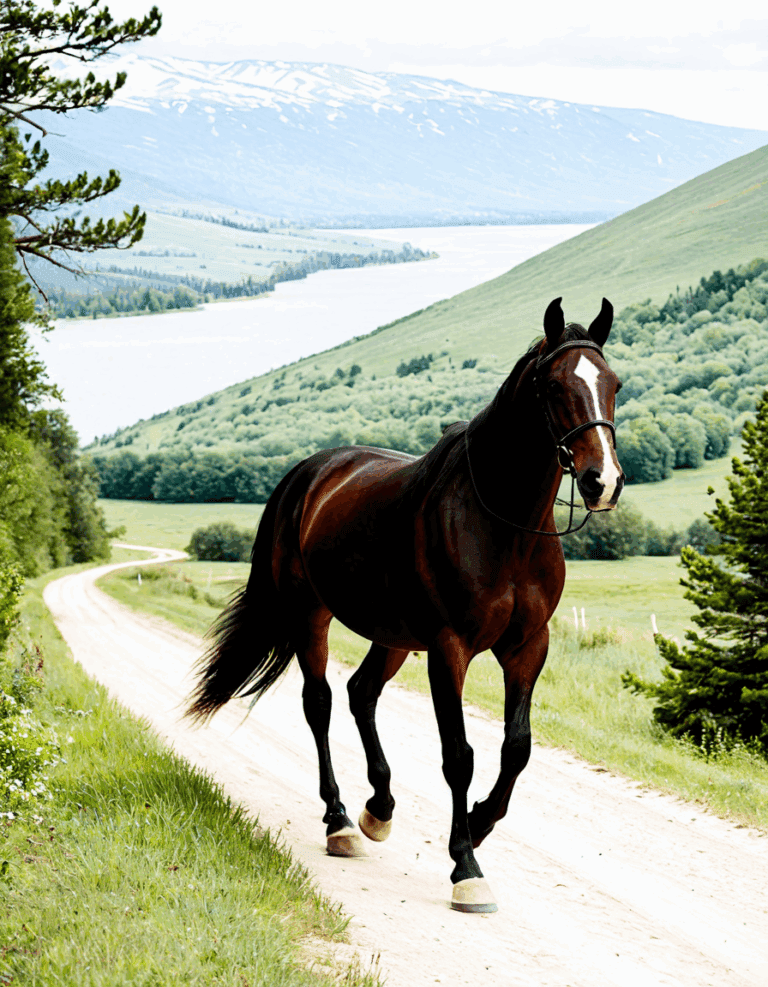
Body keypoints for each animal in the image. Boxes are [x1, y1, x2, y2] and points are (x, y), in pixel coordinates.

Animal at [185, 297, 624, 913]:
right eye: (555, 386)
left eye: (614, 384)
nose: (601, 481)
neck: (503, 526)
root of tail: (309, 472)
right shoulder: (449, 648)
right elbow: (458, 755)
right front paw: (466, 867)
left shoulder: (527, 647)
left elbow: (516, 748)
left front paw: (480, 824)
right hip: (311, 615)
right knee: (320, 703)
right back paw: (341, 820)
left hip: (392, 634)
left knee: (361, 693)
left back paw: (379, 808)